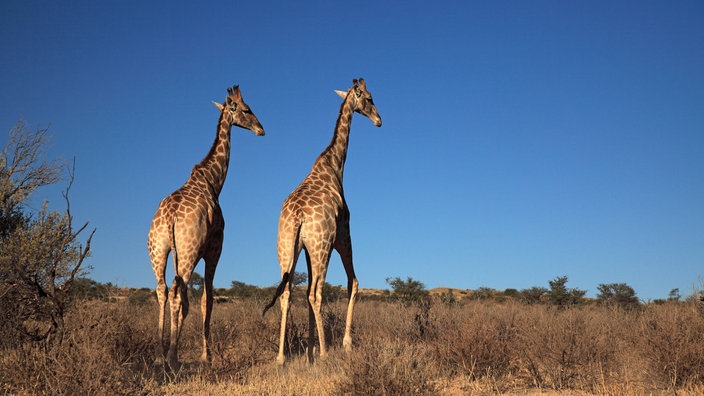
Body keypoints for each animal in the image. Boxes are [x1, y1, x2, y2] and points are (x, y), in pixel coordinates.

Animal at [146, 85, 264, 370]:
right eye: (247, 110)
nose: (261, 129)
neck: (213, 181)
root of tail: (170, 216)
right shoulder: (215, 249)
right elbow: (205, 300)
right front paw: (206, 356)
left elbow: (190, 302)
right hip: (187, 254)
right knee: (178, 293)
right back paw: (172, 356)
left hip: (158, 250)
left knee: (162, 291)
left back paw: (159, 353)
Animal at [264, 77, 382, 366]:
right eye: (370, 98)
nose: (379, 120)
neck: (334, 164)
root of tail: (297, 216)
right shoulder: (344, 235)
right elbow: (353, 283)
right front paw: (342, 345)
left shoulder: (306, 249)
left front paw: (309, 351)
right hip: (323, 246)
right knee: (316, 293)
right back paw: (327, 352)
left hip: (287, 247)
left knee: (288, 292)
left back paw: (282, 357)